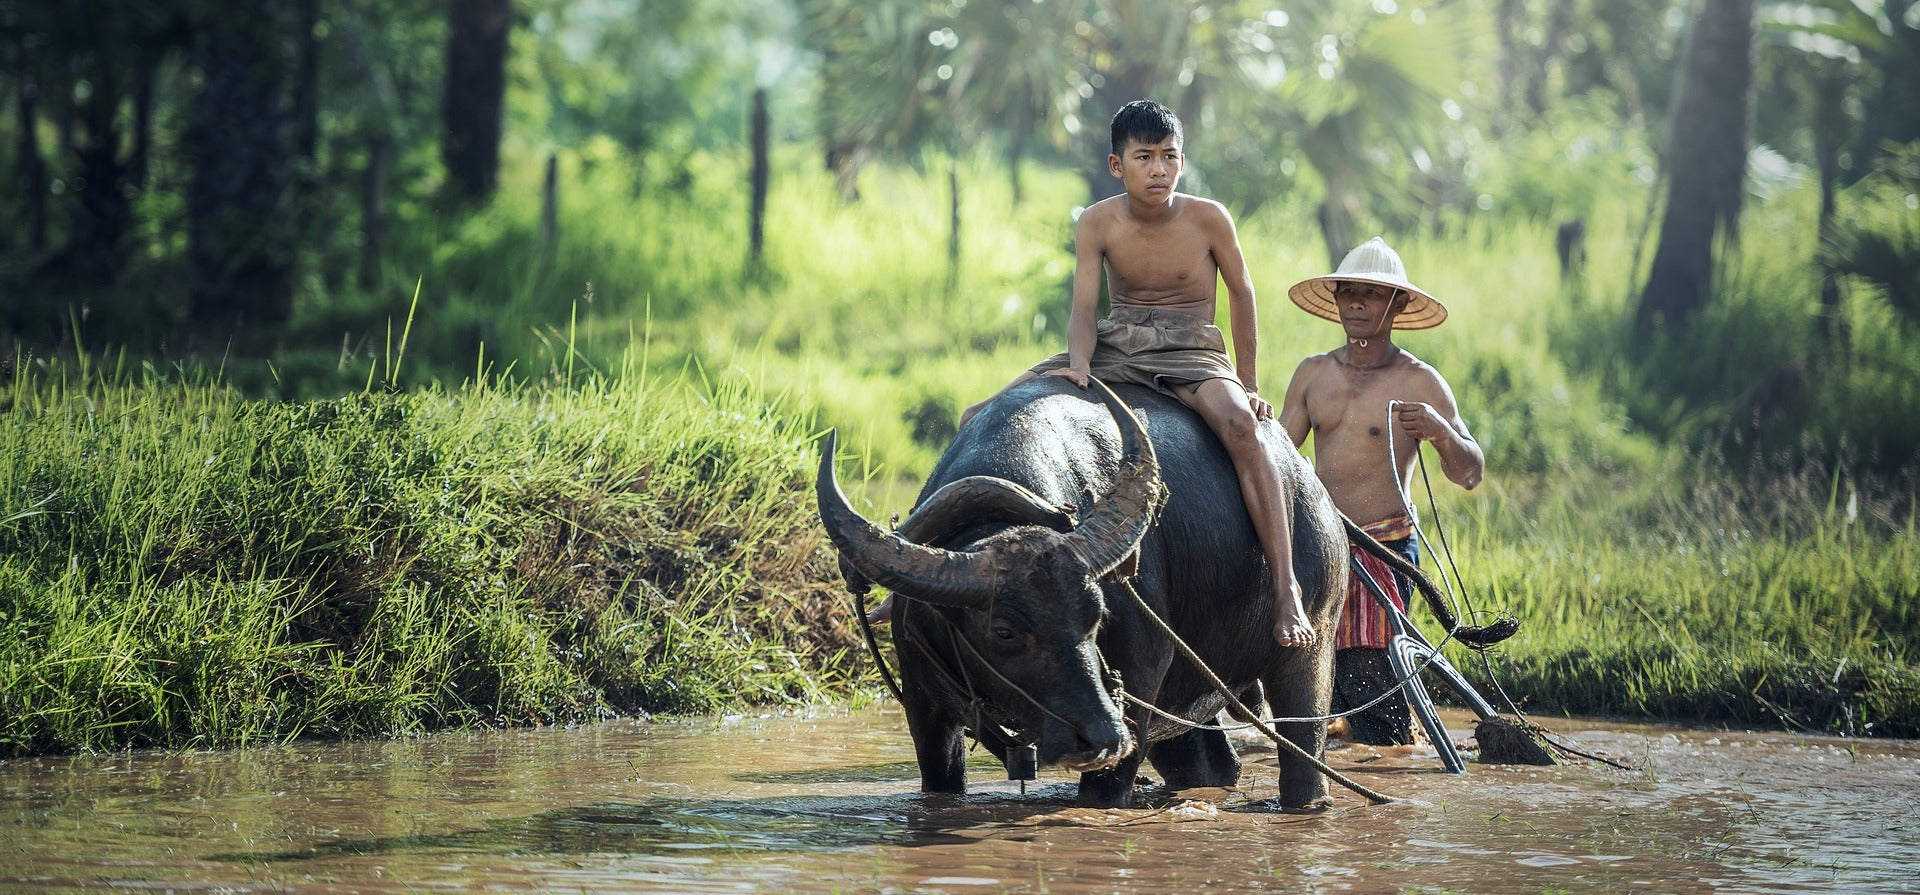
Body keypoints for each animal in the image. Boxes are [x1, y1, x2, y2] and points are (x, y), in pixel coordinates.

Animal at [817, 374, 1459, 806]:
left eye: (1095, 616)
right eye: (1003, 630)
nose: (1101, 735)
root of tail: (1316, 493)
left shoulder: (1139, 689)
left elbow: (1106, 790)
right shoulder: (926, 713)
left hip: (1312, 647)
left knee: (1304, 751)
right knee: (1208, 764)